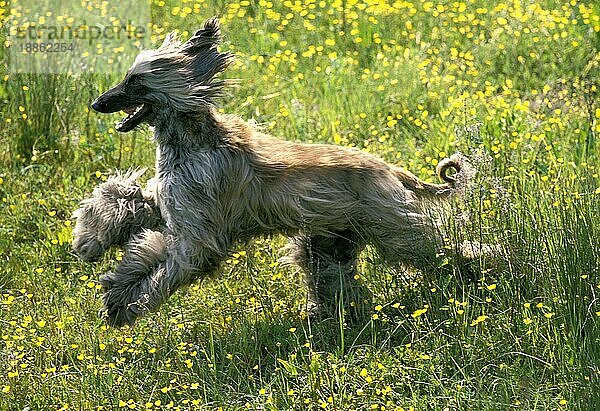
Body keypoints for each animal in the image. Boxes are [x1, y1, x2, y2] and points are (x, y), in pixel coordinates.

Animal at [76, 18, 468, 328]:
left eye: (136, 81)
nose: (97, 103)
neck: (195, 141)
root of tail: (392, 170)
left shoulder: (199, 233)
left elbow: (162, 260)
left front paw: (123, 301)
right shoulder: (172, 205)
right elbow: (122, 200)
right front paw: (90, 243)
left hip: (392, 225)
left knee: (443, 250)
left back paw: (475, 275)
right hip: (328, 239)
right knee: (334, 277)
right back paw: (331, 317)